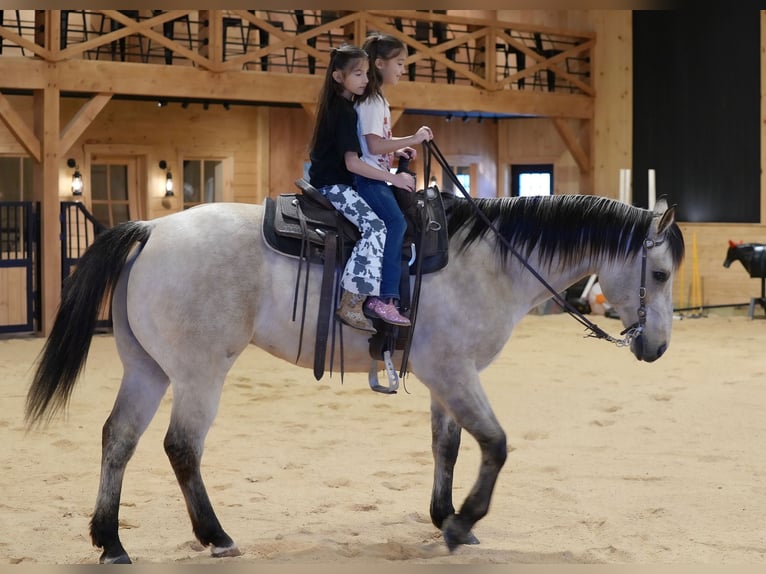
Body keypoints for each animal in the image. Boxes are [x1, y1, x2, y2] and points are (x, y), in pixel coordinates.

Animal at [24, 193, 684, 563]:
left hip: (147, 370)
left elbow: (447, 445)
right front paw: (462, 523)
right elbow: (495, 444)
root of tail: (152, 229)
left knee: (119, 440)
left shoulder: (445, 376)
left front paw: (444, 516)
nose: (656, 348)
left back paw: (111, 542)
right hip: (198, 373)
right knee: (181, 447)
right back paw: (215, 536)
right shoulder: (454, 370)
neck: (488, 260)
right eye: (659, 272)